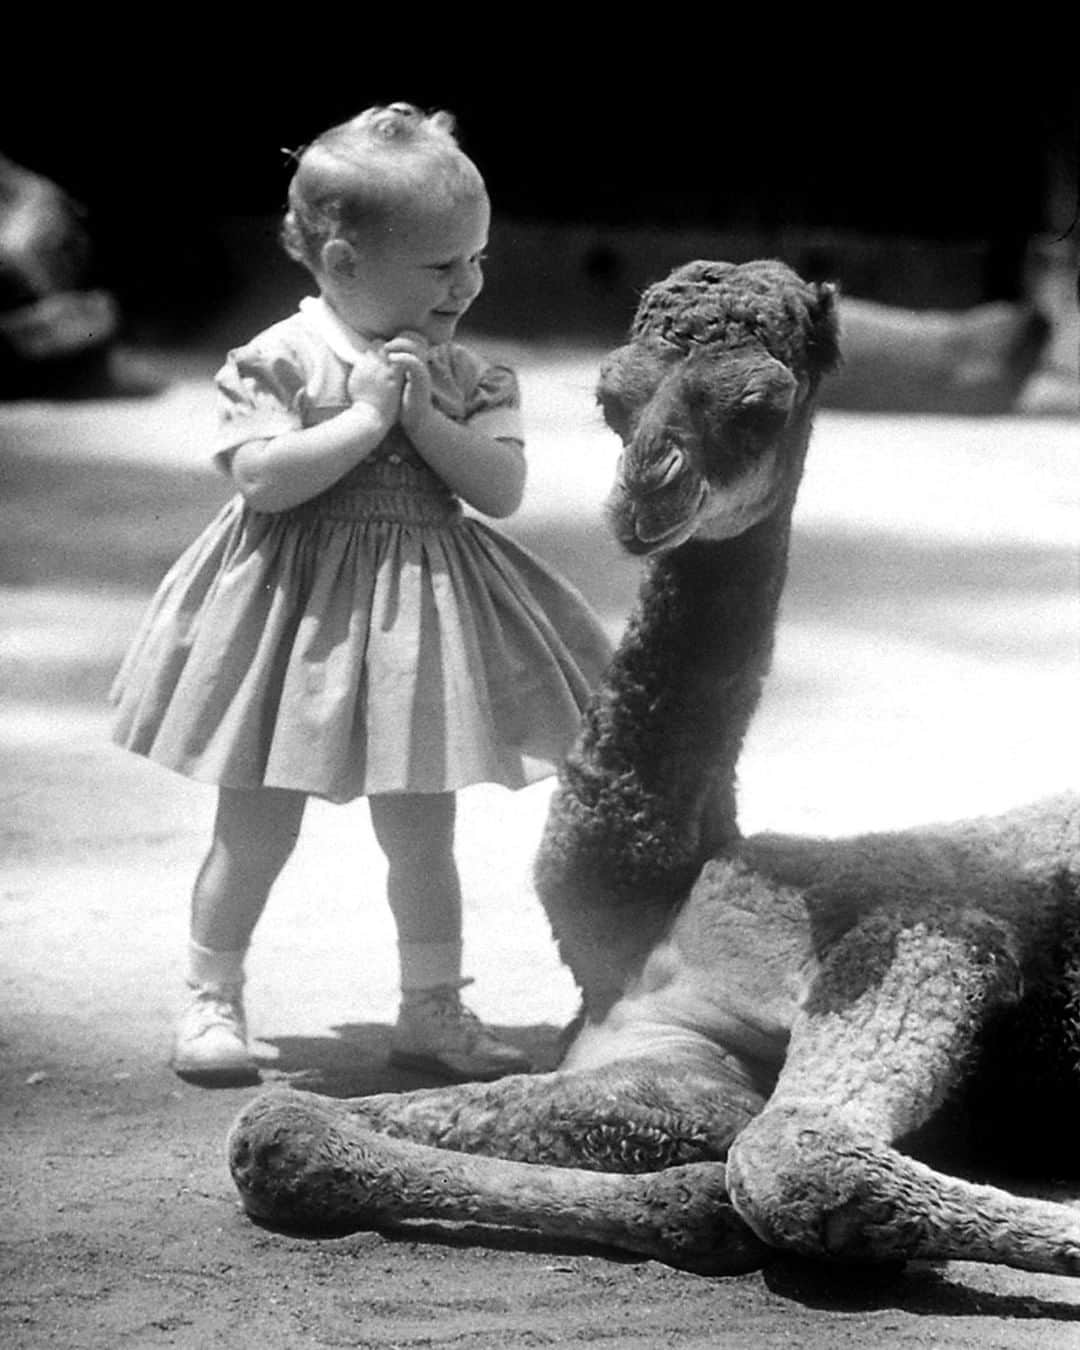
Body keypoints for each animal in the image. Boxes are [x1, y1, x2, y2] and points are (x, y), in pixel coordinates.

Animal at [228, 260, 1080, 1274]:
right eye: (610, 396)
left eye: (760, 405)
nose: (647, 491)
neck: (646, 912)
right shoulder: (661, 1054)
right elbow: (296, 1127)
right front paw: (692, 1207)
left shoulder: (937, 930)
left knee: (794, 1160)